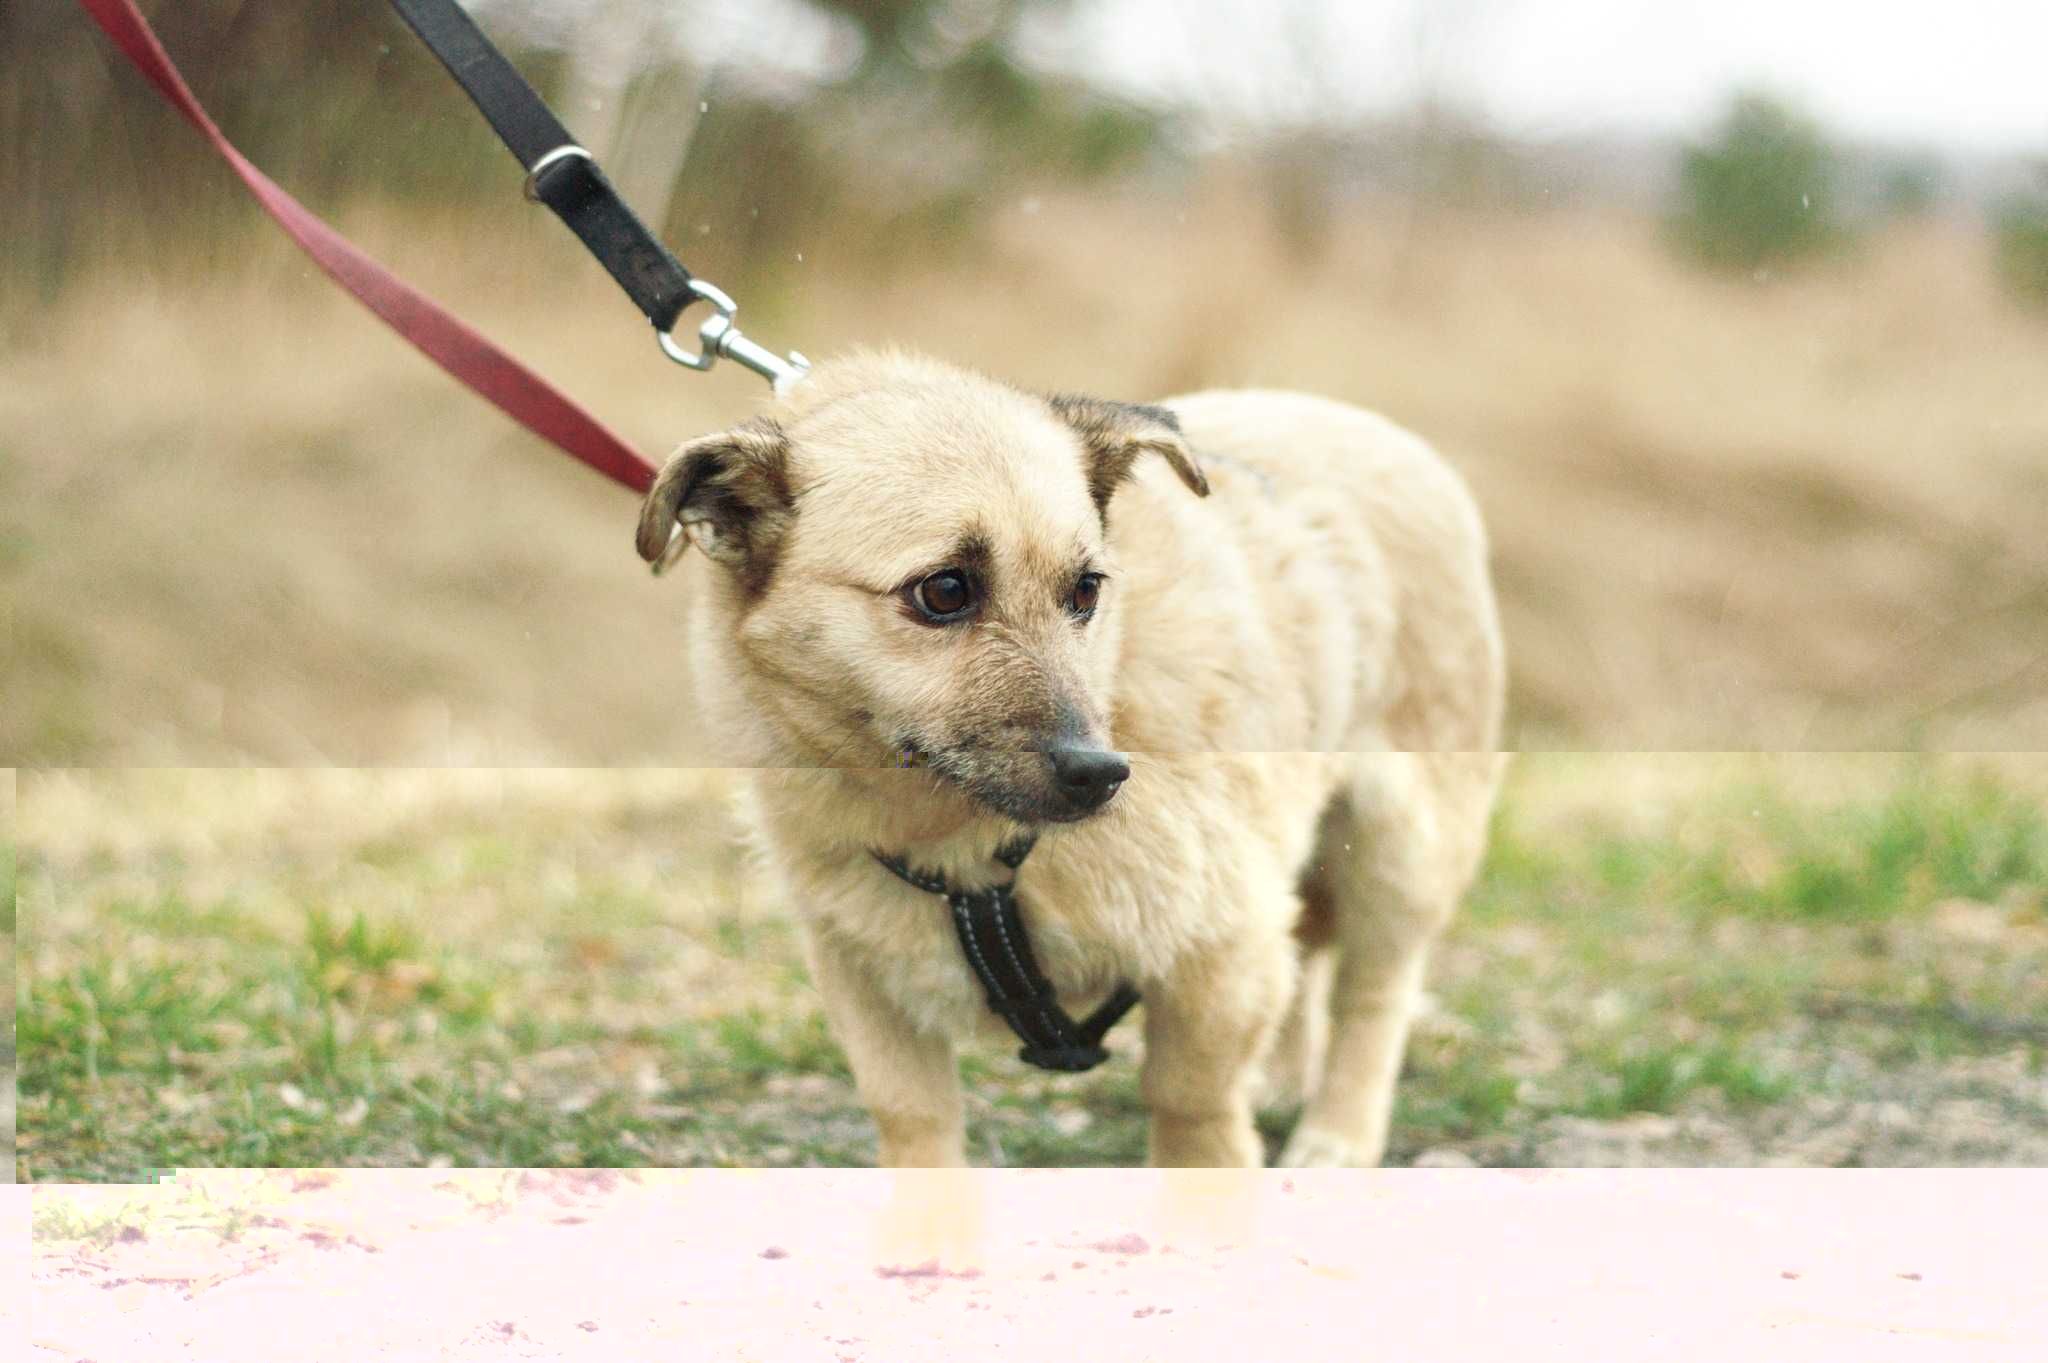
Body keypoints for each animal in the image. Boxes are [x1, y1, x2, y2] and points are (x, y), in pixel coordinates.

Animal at [638, 349, 1507, 1170]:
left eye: (1087, 589)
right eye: (944, 590)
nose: (1101, 774)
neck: (966, 844)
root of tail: (1376, 428)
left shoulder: (1222, 945)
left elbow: (1191, 1104)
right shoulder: (861, 976)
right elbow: (913, 1121)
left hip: (1403, 849)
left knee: (1375, 997)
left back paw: (1337, 1135)